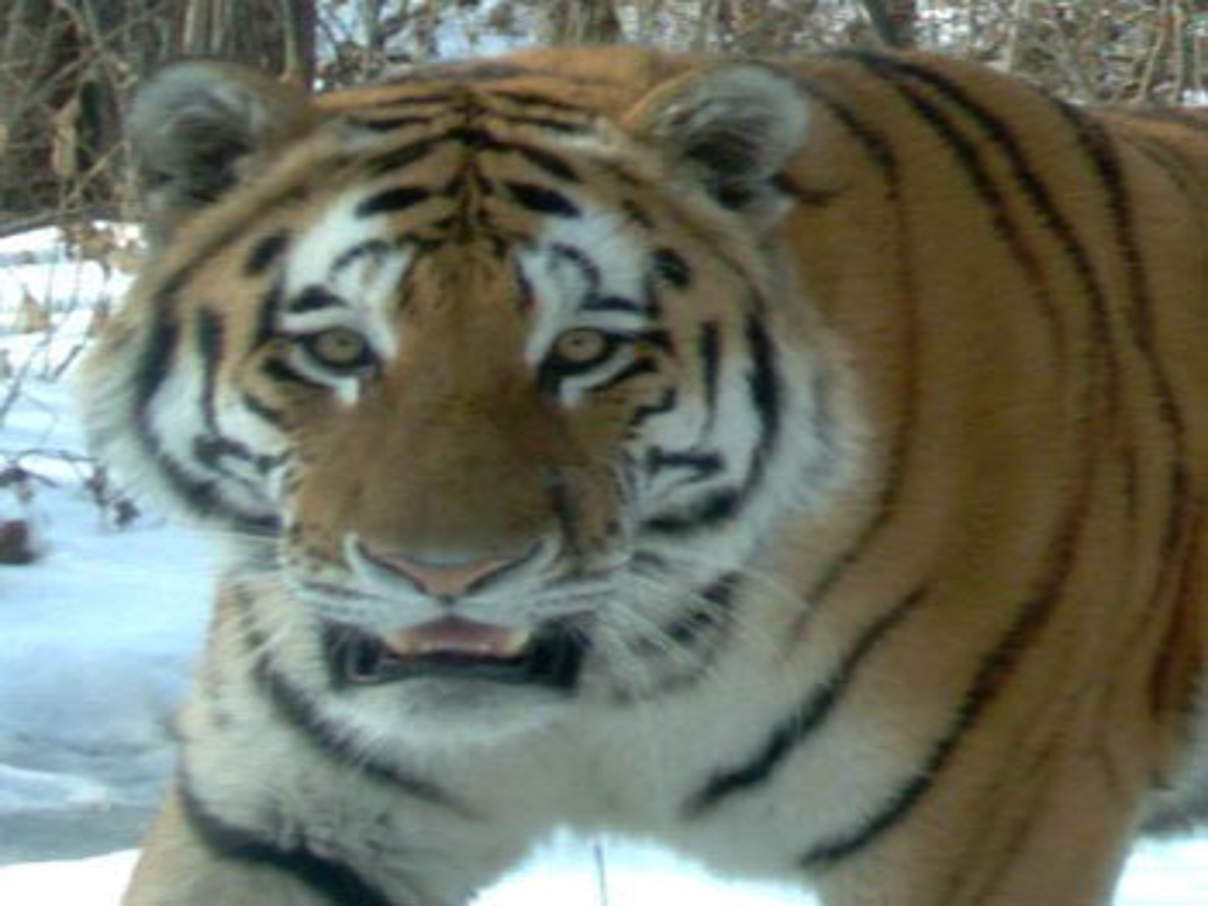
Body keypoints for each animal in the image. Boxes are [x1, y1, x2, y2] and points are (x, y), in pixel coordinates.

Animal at [80, 46, 1208, 906]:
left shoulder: (995, 824)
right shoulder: (279, 818)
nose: (445, 577)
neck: (625, 678)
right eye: (337, 349)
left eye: (582, 350)